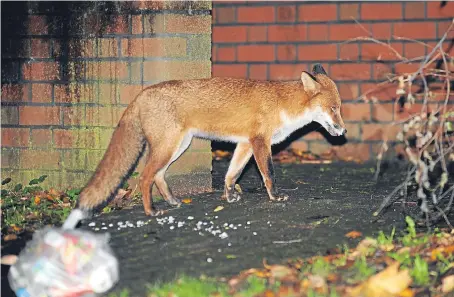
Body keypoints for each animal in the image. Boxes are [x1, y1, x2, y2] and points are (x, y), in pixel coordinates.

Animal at [74, 63, 346, 217]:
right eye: (333, 108)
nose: (343, 131)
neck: (282, 104)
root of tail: (143, 93)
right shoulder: (260, 142)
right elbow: (269, 174)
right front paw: (275, 197)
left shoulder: (245, 144)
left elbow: (231, 175)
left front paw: (229, 197)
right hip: (168, 147)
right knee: (144, 177)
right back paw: (151, 211)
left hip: (177, 146)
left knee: (159, 176)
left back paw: (172, 201)